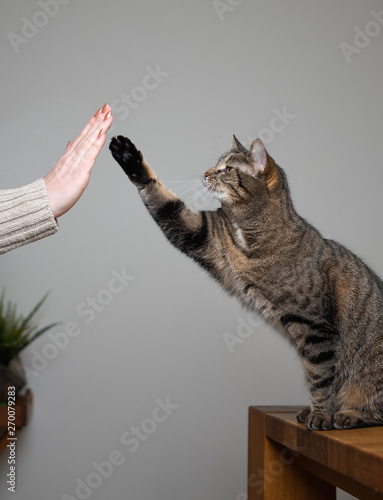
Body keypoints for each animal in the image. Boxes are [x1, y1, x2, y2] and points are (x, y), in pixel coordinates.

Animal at [109, 133, 383, 430]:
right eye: (216, 165)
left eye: (227, 169)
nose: (205, 173)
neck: (249, 229)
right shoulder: (203, 234)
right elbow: (163, 200)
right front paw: (129, 157)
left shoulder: (316, 328)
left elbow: (320, 378)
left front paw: (321, 415)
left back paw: (349, 414)